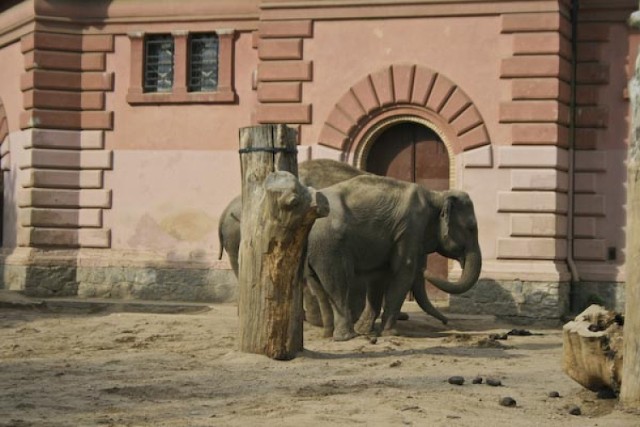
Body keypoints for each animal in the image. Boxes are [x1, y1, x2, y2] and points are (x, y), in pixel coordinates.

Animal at [304, 174, 480, 342]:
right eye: (471, 228)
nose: (446, 322)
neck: (436, 196)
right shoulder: (410, 229)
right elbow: (404, 271)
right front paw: (391, 333)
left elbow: (378, 277)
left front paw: (365, 330)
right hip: (329, 246)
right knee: (339, 284)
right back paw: (347, 337)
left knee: (319, 288)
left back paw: (328, 335)